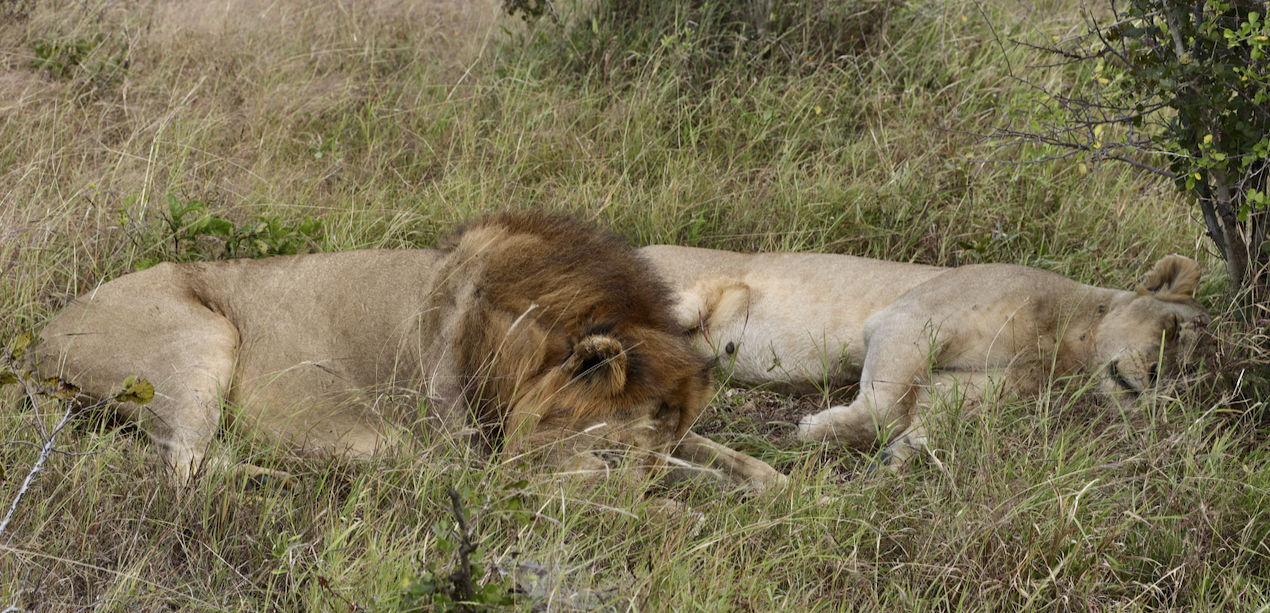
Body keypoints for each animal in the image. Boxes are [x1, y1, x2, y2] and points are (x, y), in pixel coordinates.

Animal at [39, 214, 782, 494]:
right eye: (612, 451)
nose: (647, 480)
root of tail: (44, 333)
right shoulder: (493, 466)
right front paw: (687, 505)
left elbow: (727, 457)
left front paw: (763, 482)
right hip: (205, 335)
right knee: (184, 465)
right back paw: (310, 476)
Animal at [645, 247, 1209, 467]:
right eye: (1171, 329)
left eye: (1188, 379)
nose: (1155, 379)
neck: (1064, 345)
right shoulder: (910, 318)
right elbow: (884, 409)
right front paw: (816, 430)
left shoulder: (978, 384)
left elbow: (930, 419)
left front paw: (905, 455)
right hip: (677, 299)